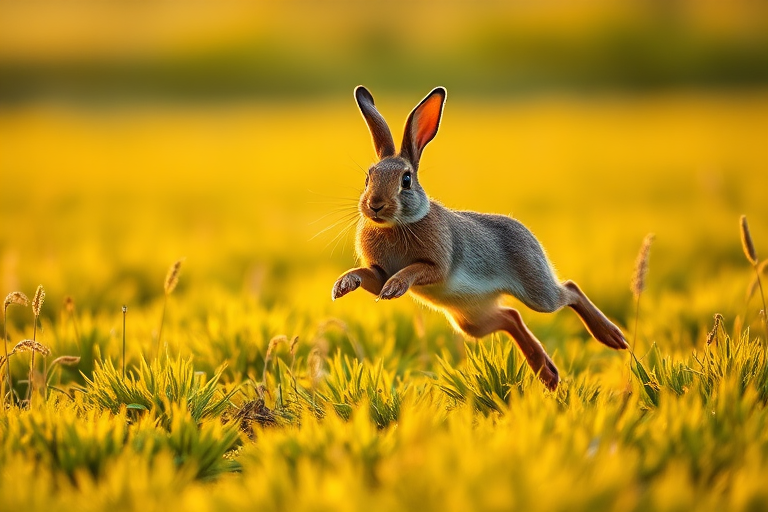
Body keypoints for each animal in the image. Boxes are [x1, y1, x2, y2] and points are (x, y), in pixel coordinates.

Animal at [332, 86, 628, 390]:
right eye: (368, 178)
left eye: (406, 180)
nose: (375, 205)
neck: (394, 225)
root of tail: (529, 236)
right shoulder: (379, 271)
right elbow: (369, 276)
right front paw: (343, 284)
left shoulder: (437, 266)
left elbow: (414, 270)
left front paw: (394, 287)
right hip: (472, 322)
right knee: (511, 317)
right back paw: (548, 374)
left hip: (536, 293)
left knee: (568, 290)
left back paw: (612, 338)